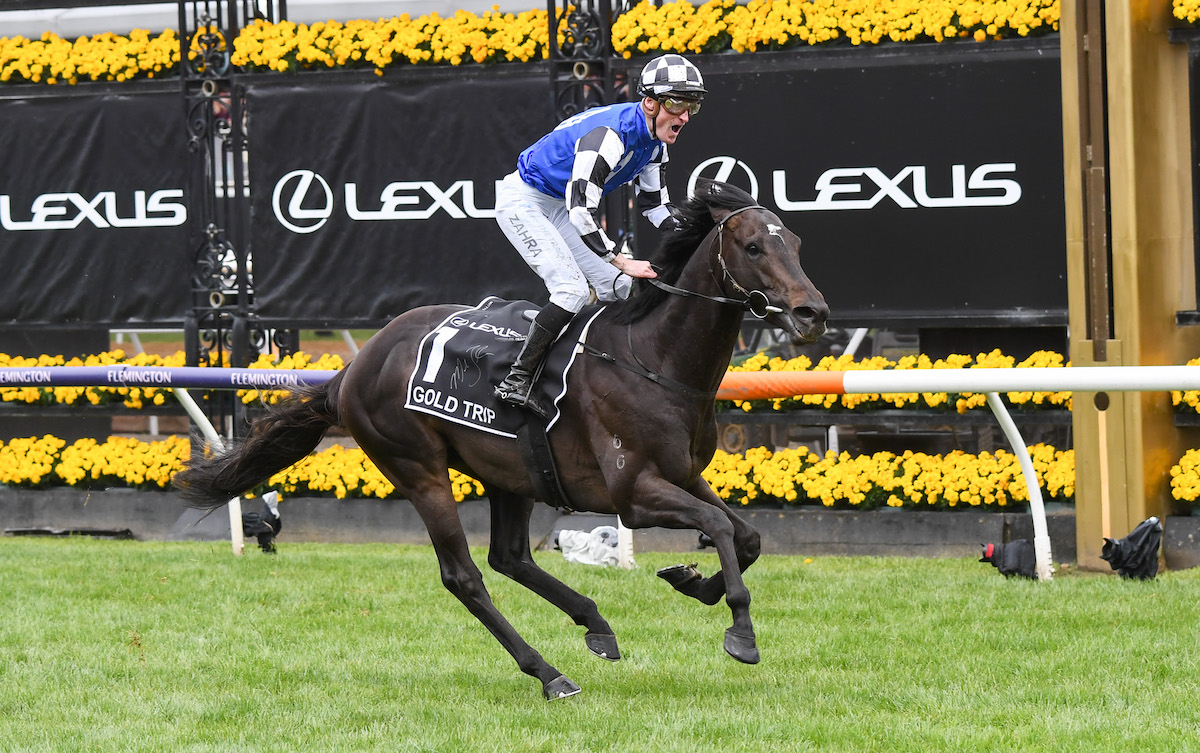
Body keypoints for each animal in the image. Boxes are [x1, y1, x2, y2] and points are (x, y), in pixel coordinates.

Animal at [174, 181, 830, 700]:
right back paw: (548, 673)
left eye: (797, 244)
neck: (652, 358)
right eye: (753, 247)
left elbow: (745, 535)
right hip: (417, 466)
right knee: (465, 575)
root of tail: (353, 370)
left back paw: (594, 624)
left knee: (509, 556)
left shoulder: (684, 474)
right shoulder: (633, 494)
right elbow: (718, 527)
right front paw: (740, 630)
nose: (812, 312)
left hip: (511, 471)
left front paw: (694, 582)